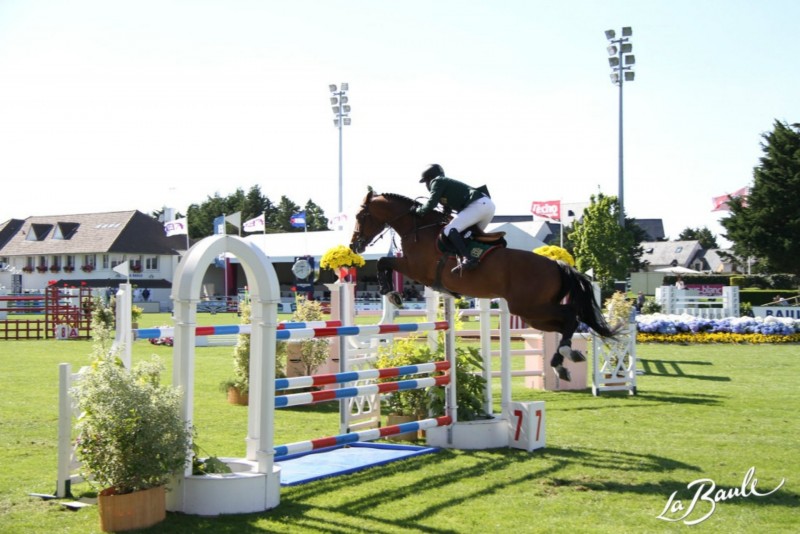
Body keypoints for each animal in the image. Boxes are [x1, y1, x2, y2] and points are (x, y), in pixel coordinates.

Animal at [350, 188, 620, 382]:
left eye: (360, 216)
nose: (355, 245)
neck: (418, 227)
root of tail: (557, 264)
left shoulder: (416, 269)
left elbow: (383, 261)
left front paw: (391, 293)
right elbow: (384, 262)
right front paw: (391, 293)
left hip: (531, 308)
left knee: (571, 316)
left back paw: (563, 357)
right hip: (533, 315)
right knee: (565, 323)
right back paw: (563, 361)